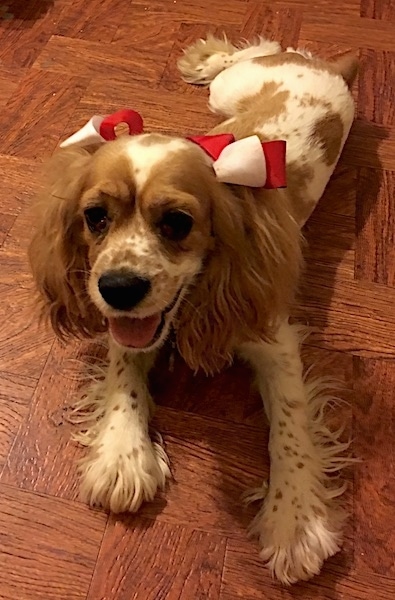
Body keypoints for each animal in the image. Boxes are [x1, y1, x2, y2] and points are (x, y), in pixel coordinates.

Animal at [28, 35, 358, 584]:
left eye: (178, 222)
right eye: (94, 217)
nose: (118, 288)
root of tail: (330, 67)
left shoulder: (272, 337)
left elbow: (290, 424)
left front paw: (294, 520)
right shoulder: (133, 327)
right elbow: (124, 373)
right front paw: (122, 453)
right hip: (226, 96)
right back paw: (206, 60)